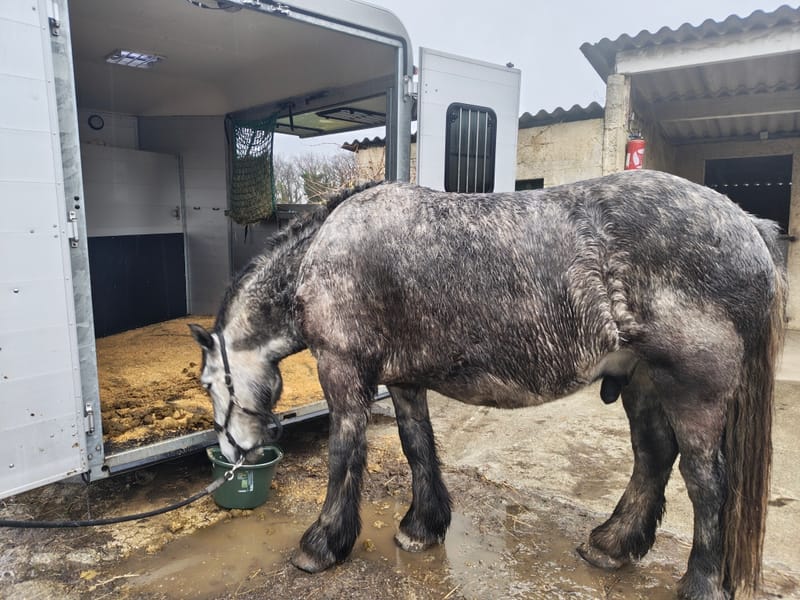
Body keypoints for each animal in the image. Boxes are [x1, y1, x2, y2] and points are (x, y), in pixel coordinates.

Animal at [190, 170, 785, 600]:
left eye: (208, 383)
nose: (233, 454)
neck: (325, 254)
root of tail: (746, 224)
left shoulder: (344, 370)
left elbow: (344, 456)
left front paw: (321, 545)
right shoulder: (402, 380)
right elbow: (417, 445)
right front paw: (422, 527)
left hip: (693, 391)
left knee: (706, 482)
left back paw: (700, 584)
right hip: (643, 380)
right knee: (653, 457)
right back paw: (611, 546)